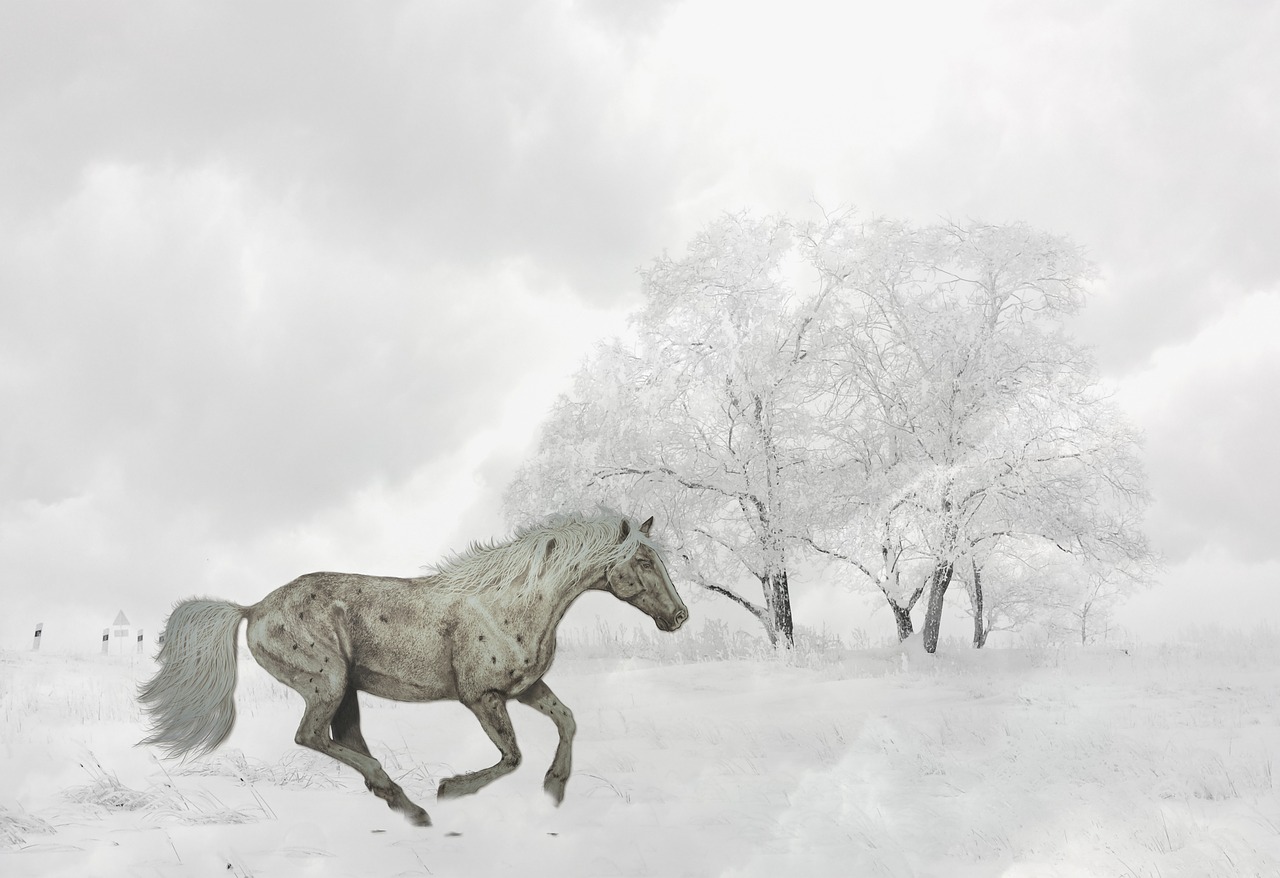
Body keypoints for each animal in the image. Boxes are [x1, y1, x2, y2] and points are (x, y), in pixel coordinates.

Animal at [135, 511, 686, 829]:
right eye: (642, 560)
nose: (679, 616)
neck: (511, 602)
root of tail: (252, 609)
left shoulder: (526, 688)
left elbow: (567, 720)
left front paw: (555, 788)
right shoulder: (482, 698)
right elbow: (511, 756)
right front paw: (450, 789)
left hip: (345, 690)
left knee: (343, 738)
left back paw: (403, 803)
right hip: (327, 683)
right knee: (311, 736)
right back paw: (409, 799)